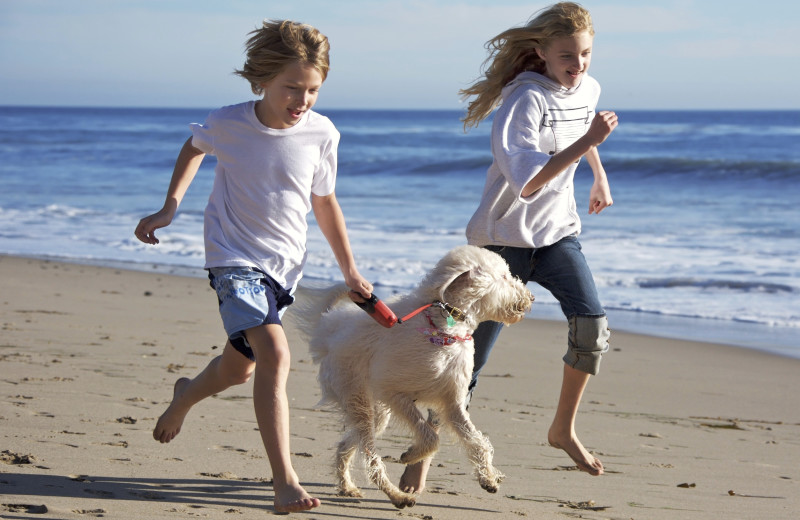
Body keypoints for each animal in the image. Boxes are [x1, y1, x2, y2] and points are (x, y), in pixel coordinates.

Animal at [294, 245, 532, 508]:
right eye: (504, 276)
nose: (531, 297)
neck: (443, 329)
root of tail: (328, 330)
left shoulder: (453, 403)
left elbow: (477, 442)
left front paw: (488, 478)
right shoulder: (394, 393)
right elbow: (430, 437)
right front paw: (411, 455)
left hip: (375, 412)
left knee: (346, 445)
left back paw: (347, 486)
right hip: (358, 400)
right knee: (371, 457)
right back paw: (396, 495)